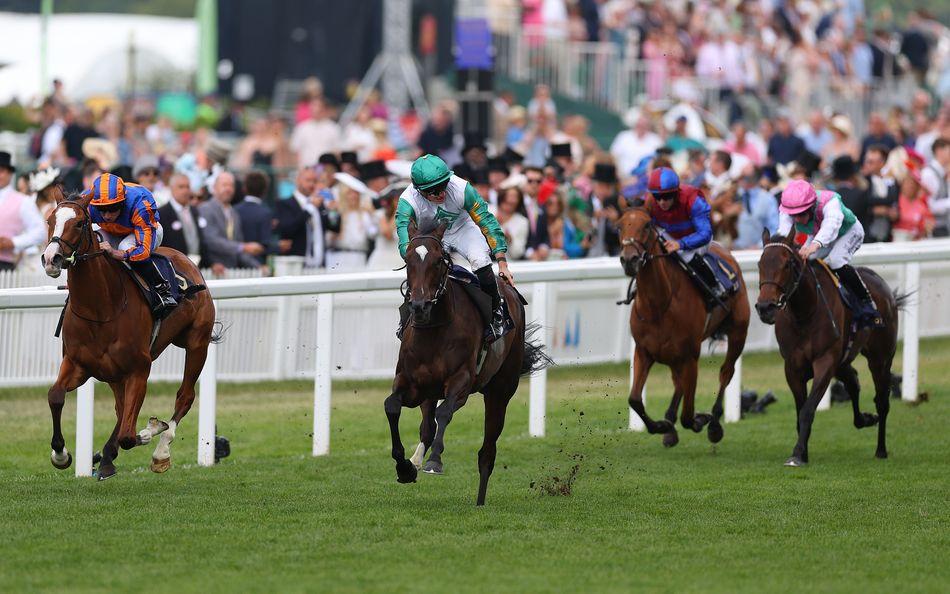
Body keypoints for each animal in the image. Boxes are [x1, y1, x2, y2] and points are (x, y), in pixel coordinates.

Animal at [41, 188, 218, 476]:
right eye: (49, 220)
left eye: (78, 223)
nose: (51, 259)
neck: (100, 309)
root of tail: (189, 260)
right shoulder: (78, 364)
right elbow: (55, 396)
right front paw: (60, 454)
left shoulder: (139, 368)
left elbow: (128, 434)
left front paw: (150, 431)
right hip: (114, 373)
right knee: (121, 408)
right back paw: (106, 457)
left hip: (197, 343)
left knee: (184, 396)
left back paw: (160, 450)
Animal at [384, 222, 552, 504]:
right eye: (407, 260)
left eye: (438, 261)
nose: (419, 306)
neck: (434, 331)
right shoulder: (411, 383)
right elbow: (392, 407)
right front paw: (405, 467)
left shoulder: (461, 381)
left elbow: (444, 413)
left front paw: (434, 461)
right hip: (430, 391)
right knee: (427, 427)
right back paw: (416, 460)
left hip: (500, 391)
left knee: (487, 452)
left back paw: (480, 502)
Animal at [616, 207, 752, 444]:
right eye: (619, 226)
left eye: (647, 225)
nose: (629, 259)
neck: (659, 305)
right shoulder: (644, 351)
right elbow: (634, 399)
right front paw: (661, 425)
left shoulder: (690, 357)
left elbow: (688, 416)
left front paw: (701, 419)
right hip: (673, 355)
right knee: (678, 382)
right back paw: (670, 425)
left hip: (738, 333)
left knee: (726, 372)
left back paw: (714, 423)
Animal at [756, 229, 904, 464]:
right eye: (760, 264)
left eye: (787, 264)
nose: (765, 307)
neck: (805, 313)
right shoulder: (793, 367)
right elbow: (800, 411)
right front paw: (803, 452)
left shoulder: (825, 361)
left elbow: (807, 410)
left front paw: (797, 454)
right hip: (843, 361)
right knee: (853, 382)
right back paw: (865, 419)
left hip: (880, 358)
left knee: (882, 400)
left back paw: (881, 449)